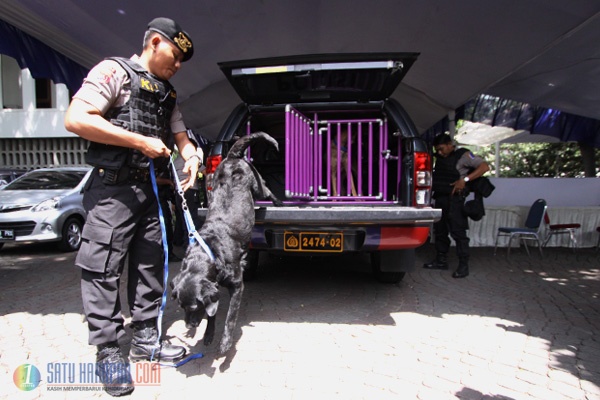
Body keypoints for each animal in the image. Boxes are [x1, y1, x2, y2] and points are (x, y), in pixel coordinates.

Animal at [169, 130, 282, 354]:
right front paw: (208, 334)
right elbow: (212, 313)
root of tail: (230, 157)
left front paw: (226, 341)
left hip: (256, 185)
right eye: (181, 306)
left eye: (194, 307)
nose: (189, 325)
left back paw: (279, 202)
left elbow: (230, 316)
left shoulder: (237, 285)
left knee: (266, 189)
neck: (209, 252)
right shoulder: (214, 288)